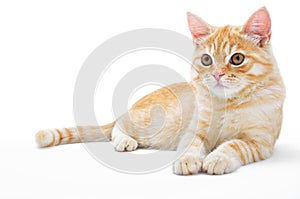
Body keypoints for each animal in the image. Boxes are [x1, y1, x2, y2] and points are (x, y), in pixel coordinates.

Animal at [35, 7, 286, 175]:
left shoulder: (259, 142)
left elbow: (234, 145)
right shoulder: (194, 130)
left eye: (237, 59)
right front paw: (187, 161)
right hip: (148, 123)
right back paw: (124, 140)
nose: (216, 74)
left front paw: (217, 159)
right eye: (206, 60)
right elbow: (191, 145)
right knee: (118, 125)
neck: (229, 103)